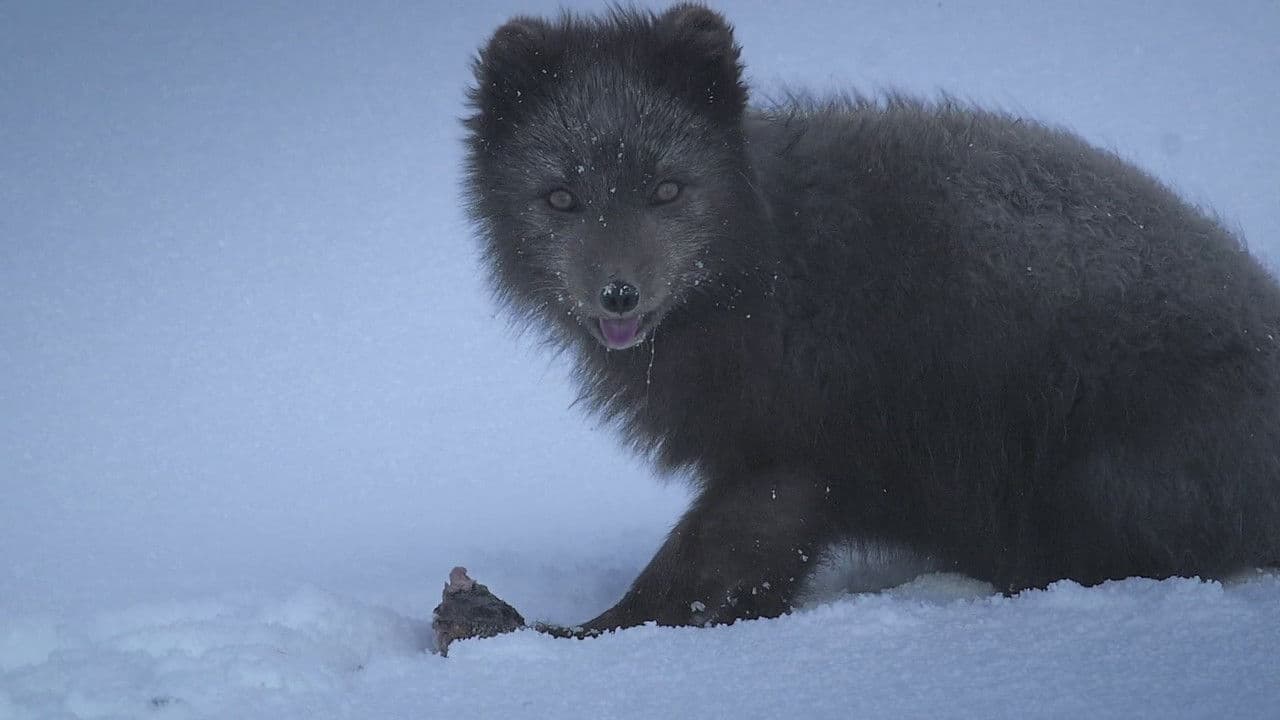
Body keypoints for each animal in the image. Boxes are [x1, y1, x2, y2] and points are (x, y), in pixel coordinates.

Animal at [463, 4, 1280, 631]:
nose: (619, 294)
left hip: (1097, 477)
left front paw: (564, 633)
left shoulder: (796, 450)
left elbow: (696, 569)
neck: (767, 263)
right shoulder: (786, 459)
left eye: (667, 190)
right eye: (561, 198)